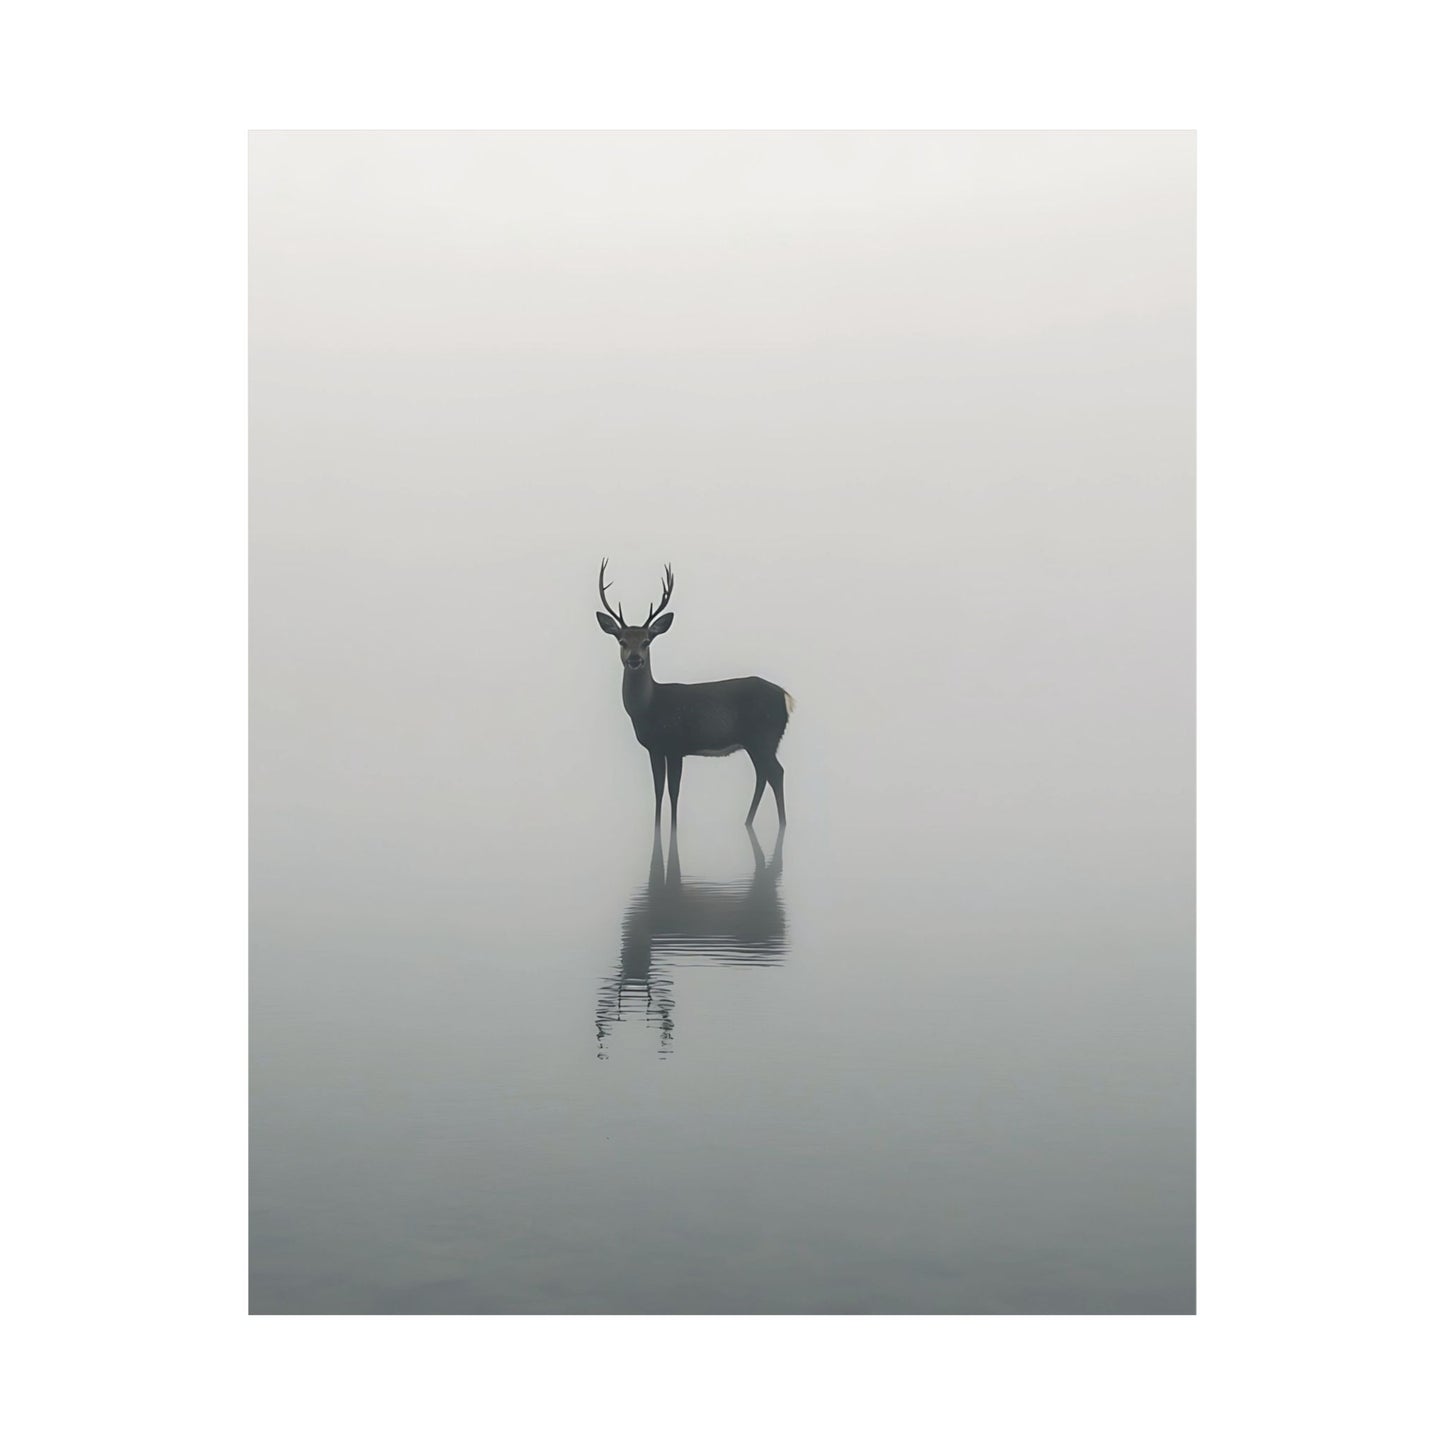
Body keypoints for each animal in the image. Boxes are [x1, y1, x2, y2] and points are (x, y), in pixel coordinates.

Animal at [596, 560, 794, 831]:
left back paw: (780, 822)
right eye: (622, 641)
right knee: (764, 773)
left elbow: (673, 791)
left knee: (776, 772)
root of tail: (786, 696)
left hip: (763, 735)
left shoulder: (675, 744)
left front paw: (673, 828)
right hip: (759, 740)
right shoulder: (655, 748)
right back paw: (748, 820)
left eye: (647, 641)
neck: (649, 708)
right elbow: (658, 790)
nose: (635, 659)